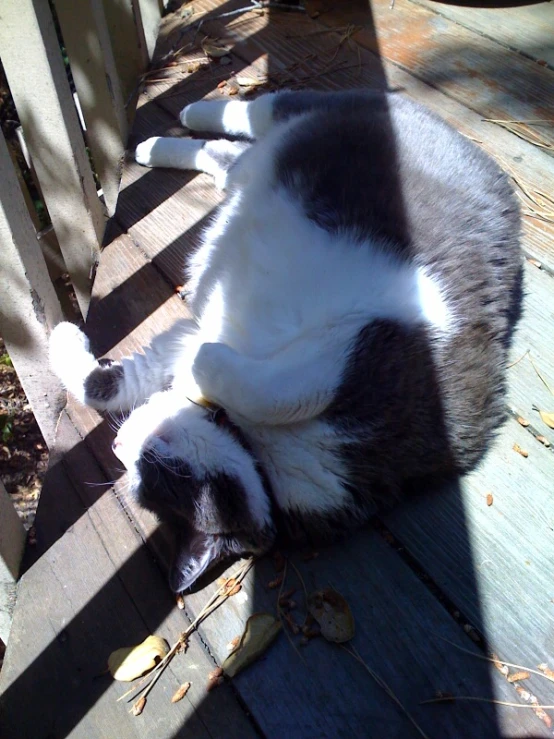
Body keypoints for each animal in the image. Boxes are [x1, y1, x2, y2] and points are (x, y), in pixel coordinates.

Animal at [48, 89, 520, 592]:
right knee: (226, 149)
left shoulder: (374, 350)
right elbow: (101, 389)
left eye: (155, 470)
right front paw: (60, 336)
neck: (262, 452)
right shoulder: (191, 336)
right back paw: (158, 142)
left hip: (304, 115)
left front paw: (202, 366)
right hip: (257, 158)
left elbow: (268, 388)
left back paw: (183, 121)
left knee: (253, 117)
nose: (119, 446)